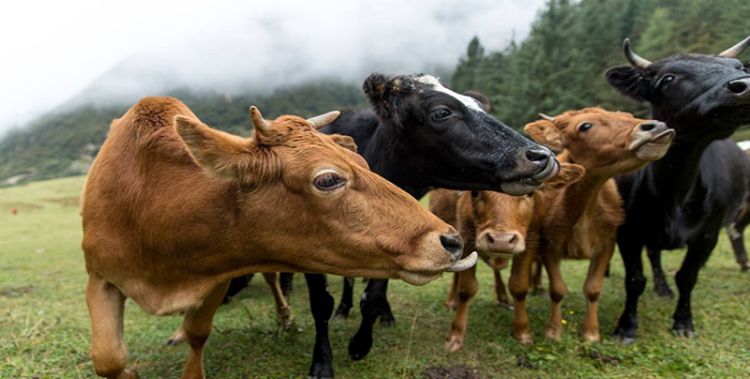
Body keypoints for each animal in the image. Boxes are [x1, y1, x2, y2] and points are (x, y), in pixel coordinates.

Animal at [81, 98, 476, 379]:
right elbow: (109, 359)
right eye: (328, 179)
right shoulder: (99, 276)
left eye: (364, 163)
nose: (450, 241)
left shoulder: (219, 277)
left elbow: (198, 333)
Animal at [432, 163, 592, 354]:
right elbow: (466, 289)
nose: (501, 240)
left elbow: (519, 286)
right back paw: (452, 301)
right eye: (475, 192)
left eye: (530, 193)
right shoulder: (466, 237)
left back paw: (502, 297)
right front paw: (455, 336)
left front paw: (522, 331)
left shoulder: (531, 241)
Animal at [512, 107, 676, 344]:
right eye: (585, 126)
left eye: (627, 116)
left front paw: (590, 333)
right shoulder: (549, 246)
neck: (583, 211)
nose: (656, 126)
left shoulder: (607, 245)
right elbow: (558, 290)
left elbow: (593, 289)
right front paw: (554, 331)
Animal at [604, 36, 750, 342]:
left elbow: (687, 276)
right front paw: (626, 326)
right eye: (668, 78)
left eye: (740, 66)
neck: (672, 194)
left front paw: (683, 322)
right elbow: (635, 279)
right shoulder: (628, 232)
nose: (744, 85)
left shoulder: (707, 235)